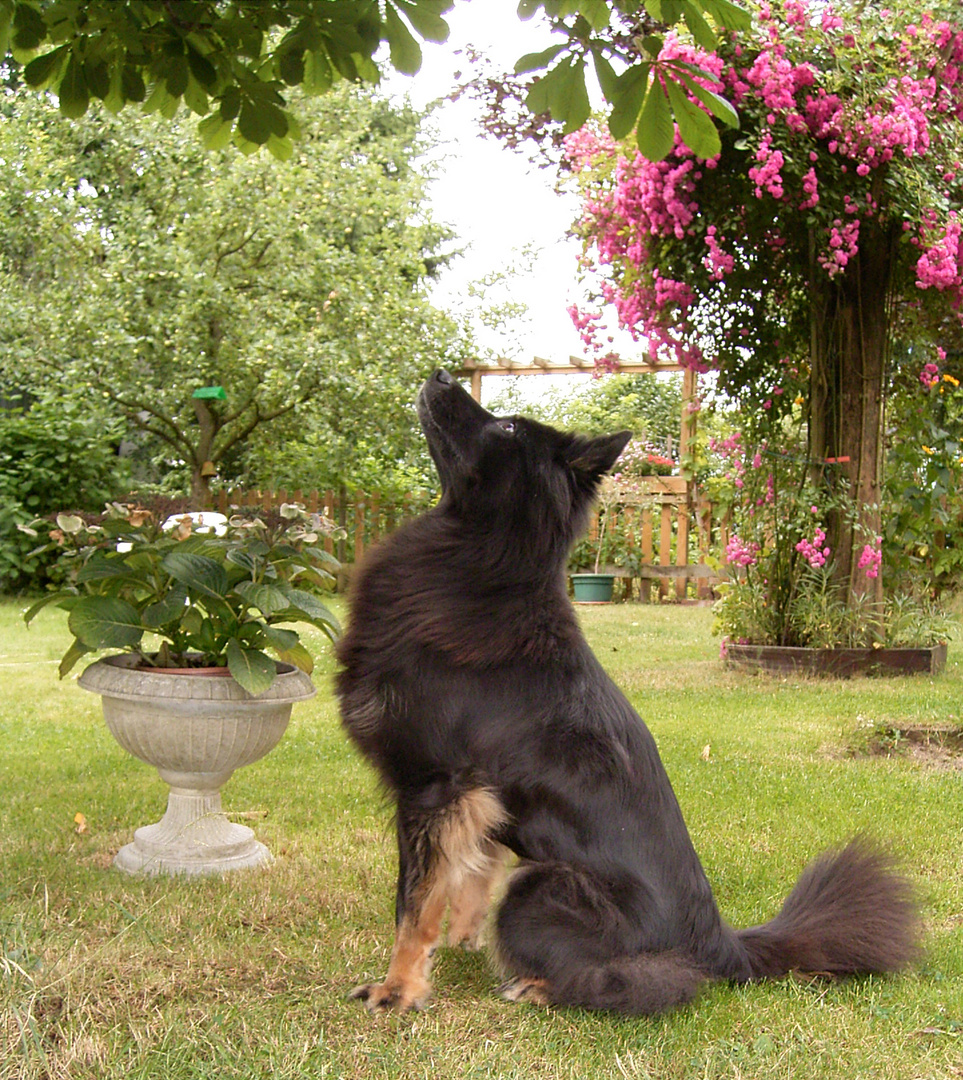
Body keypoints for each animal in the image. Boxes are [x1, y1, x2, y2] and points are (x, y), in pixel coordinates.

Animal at [334, 371, 919, 1010]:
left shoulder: (433, 785)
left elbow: (412, 904)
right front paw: (459, 938)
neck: (486, 564)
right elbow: (465, 875)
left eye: (508, 426)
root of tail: (721, 944)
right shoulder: (477, 799)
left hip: (535, 883)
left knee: (635, 981)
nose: (441, 375)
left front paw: (399, 988)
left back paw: (537, 984)